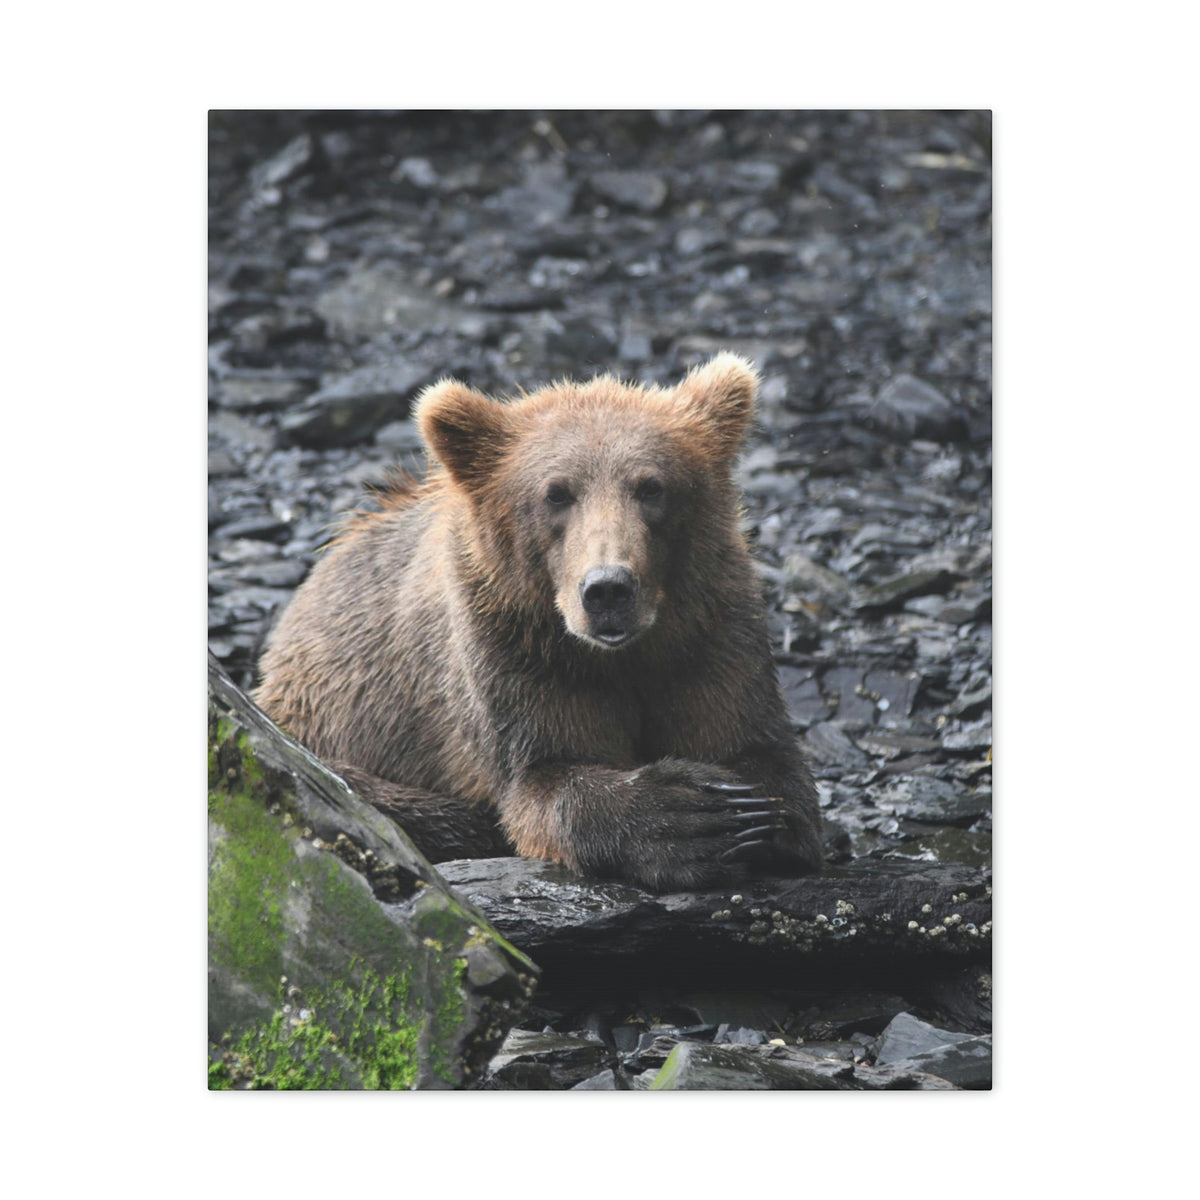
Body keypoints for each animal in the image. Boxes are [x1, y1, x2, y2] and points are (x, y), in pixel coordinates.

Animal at [254, 353, 824, 890]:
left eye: (651, 487)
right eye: (557, 493)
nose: (608, 589)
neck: (620, 655)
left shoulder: (709, 631)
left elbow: (756, 748)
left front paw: (749, 813)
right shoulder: (514, 651)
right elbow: (544, 777)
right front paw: (688, 817)